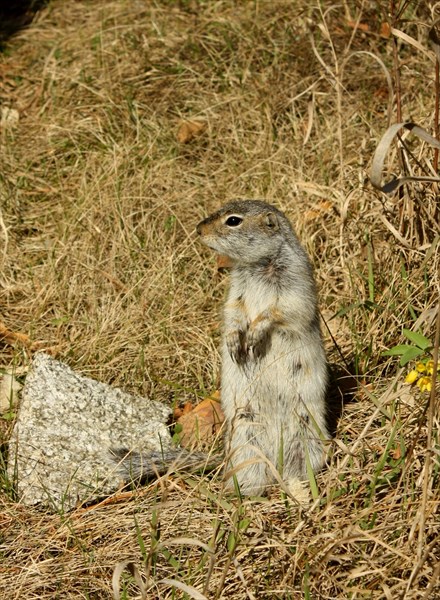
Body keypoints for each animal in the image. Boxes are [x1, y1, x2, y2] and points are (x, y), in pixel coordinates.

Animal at [115, 199, 328, 494]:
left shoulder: (295, 285)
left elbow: (282, 310)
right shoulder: (235, 292)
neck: (256, 265)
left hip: (306, 434)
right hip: (245, 438)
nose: (198, 229)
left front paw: (255, 333)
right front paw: (234, 342)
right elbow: (232, 312)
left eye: (233, 221)